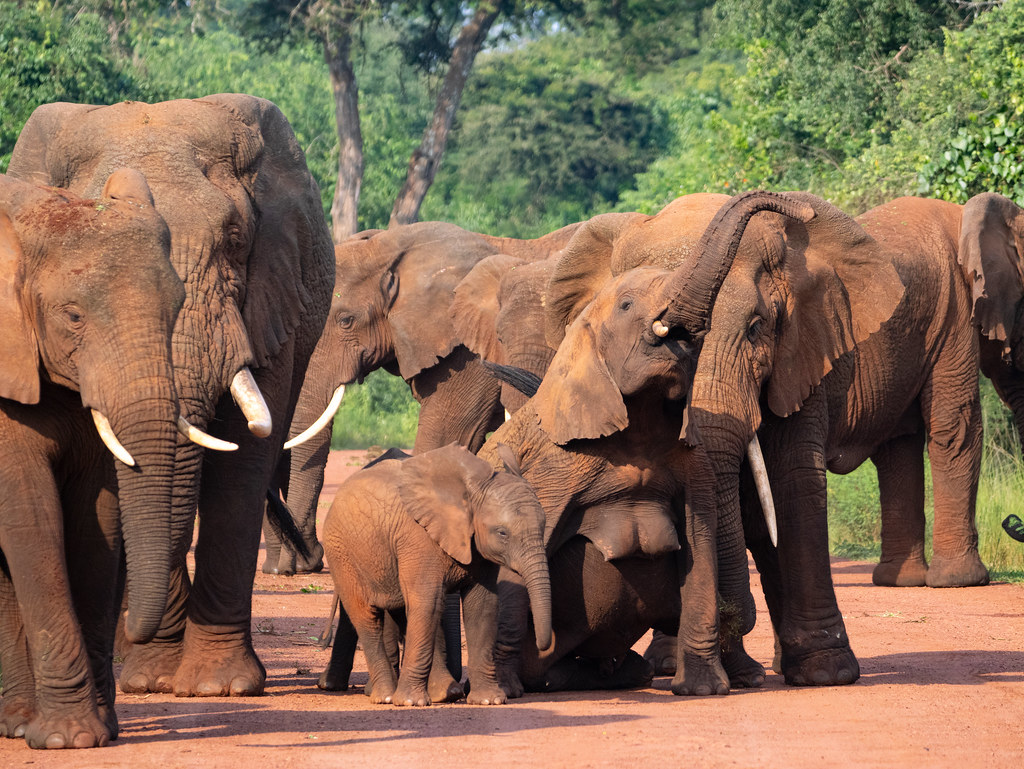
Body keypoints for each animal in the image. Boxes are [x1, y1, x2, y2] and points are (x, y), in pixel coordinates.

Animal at [0, 171, 182, 749]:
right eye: (73, 315)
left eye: (178, 307)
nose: (137, 635)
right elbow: (31, 517)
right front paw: (70, 740)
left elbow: (95, 517)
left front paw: (100, 731)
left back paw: (17, 723)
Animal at [317, 442, 552, 708]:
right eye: (502, 533)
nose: (543, 647)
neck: (471, 491)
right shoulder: (417, 538)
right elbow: (427, 603)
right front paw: (411, 703)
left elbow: (482, 607)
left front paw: (488, 700)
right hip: (341, 552)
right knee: (367, 615)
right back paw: (386, 696)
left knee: (402, 610)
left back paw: (441, 693)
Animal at [475, 191, 819, 696]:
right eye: (626, 304)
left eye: (758, 327)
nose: (804, 210)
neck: (636, 425)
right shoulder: (554, 470)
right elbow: (520, 561)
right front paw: (504, 690)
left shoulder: (691, 463)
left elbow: (698, 546)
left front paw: (702, 690)